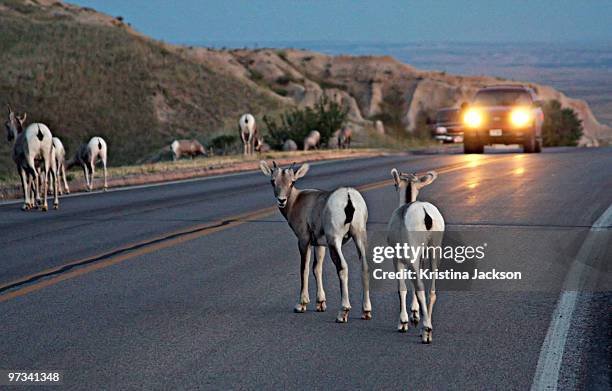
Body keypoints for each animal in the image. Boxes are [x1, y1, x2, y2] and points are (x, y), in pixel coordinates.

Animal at [260, 161, 372, 324]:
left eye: (292, 182)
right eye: (273, 181)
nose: (281, 200)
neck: (296, 201)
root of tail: (348, 196)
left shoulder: (304, 240)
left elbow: (304, 268)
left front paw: (301, 304)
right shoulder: (319, 245)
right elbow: (316, 268)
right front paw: (320, 304)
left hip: (334, 241)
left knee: (342, 267)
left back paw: (342, 312)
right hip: (359, 237)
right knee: (364, 267)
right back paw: (366, 312)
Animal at [388, 168, 444, 344]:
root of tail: (426, 215)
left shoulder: (397, 259)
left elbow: (402, 288)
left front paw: (404, 323)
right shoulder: (420, 258)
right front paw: (414, 316)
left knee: (419, 287)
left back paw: (426, 331)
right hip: (434, 251)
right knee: (431, 290)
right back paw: (425, 329)